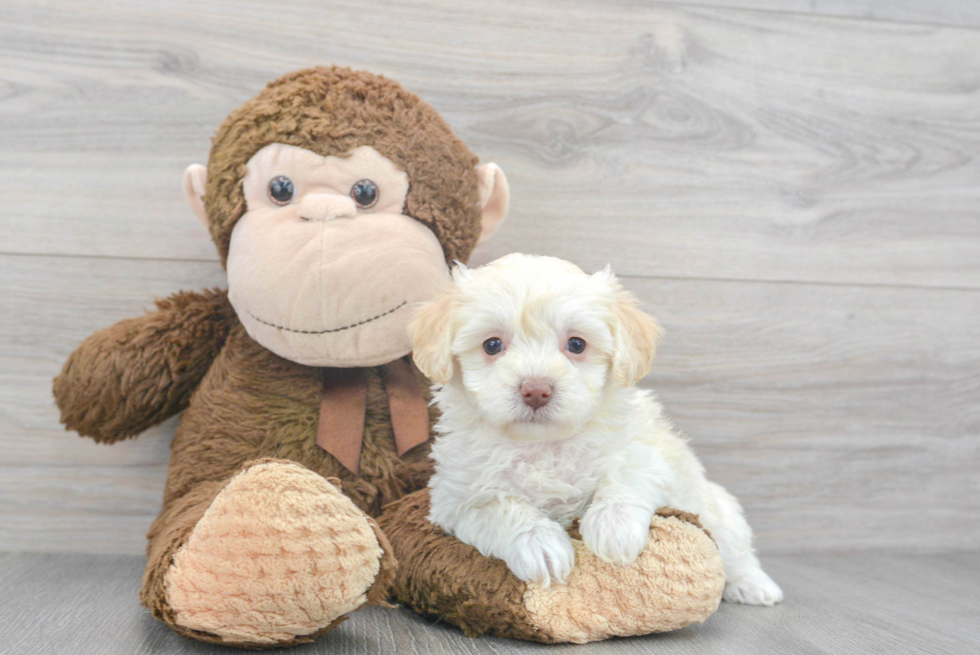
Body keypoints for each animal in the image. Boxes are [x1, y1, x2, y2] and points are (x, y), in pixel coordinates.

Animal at [406, 254, 780, 608]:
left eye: (576, 344)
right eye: (492, 345)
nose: (536, 390)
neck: (541, 447)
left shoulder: (649, 453)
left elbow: (627, 476)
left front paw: (613, 528)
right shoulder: (458, 498)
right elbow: (500, 510)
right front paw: (539, 545)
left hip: (717, 511)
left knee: (735, 551)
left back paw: (754, 585)